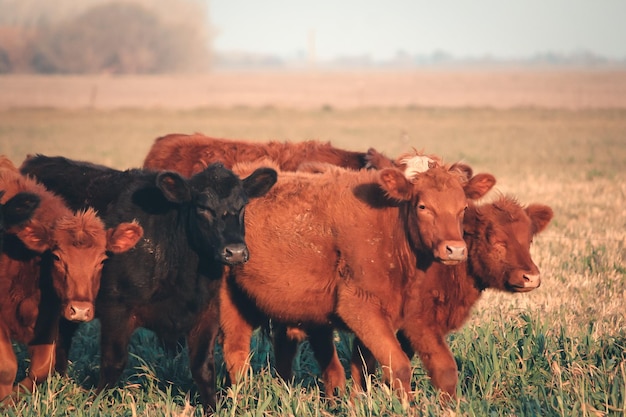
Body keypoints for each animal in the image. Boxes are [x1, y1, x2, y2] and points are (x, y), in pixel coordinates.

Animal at [22, 154, 276, 410]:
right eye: (202, 208)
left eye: (242, 206)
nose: (235, 252)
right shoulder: (117, 309)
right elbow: (113, 363)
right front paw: (95, 404)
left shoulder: (207, 312)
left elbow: (203, 368)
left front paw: (212, 410)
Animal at [217, 154, 494, 396]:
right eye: (423, 206)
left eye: (463, 207)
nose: (455, 249)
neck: (391, 232)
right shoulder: (360, 307)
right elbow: (398, 367)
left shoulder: (397, 316)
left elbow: (370, 369)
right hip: (229, 304)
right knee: (236, 354)